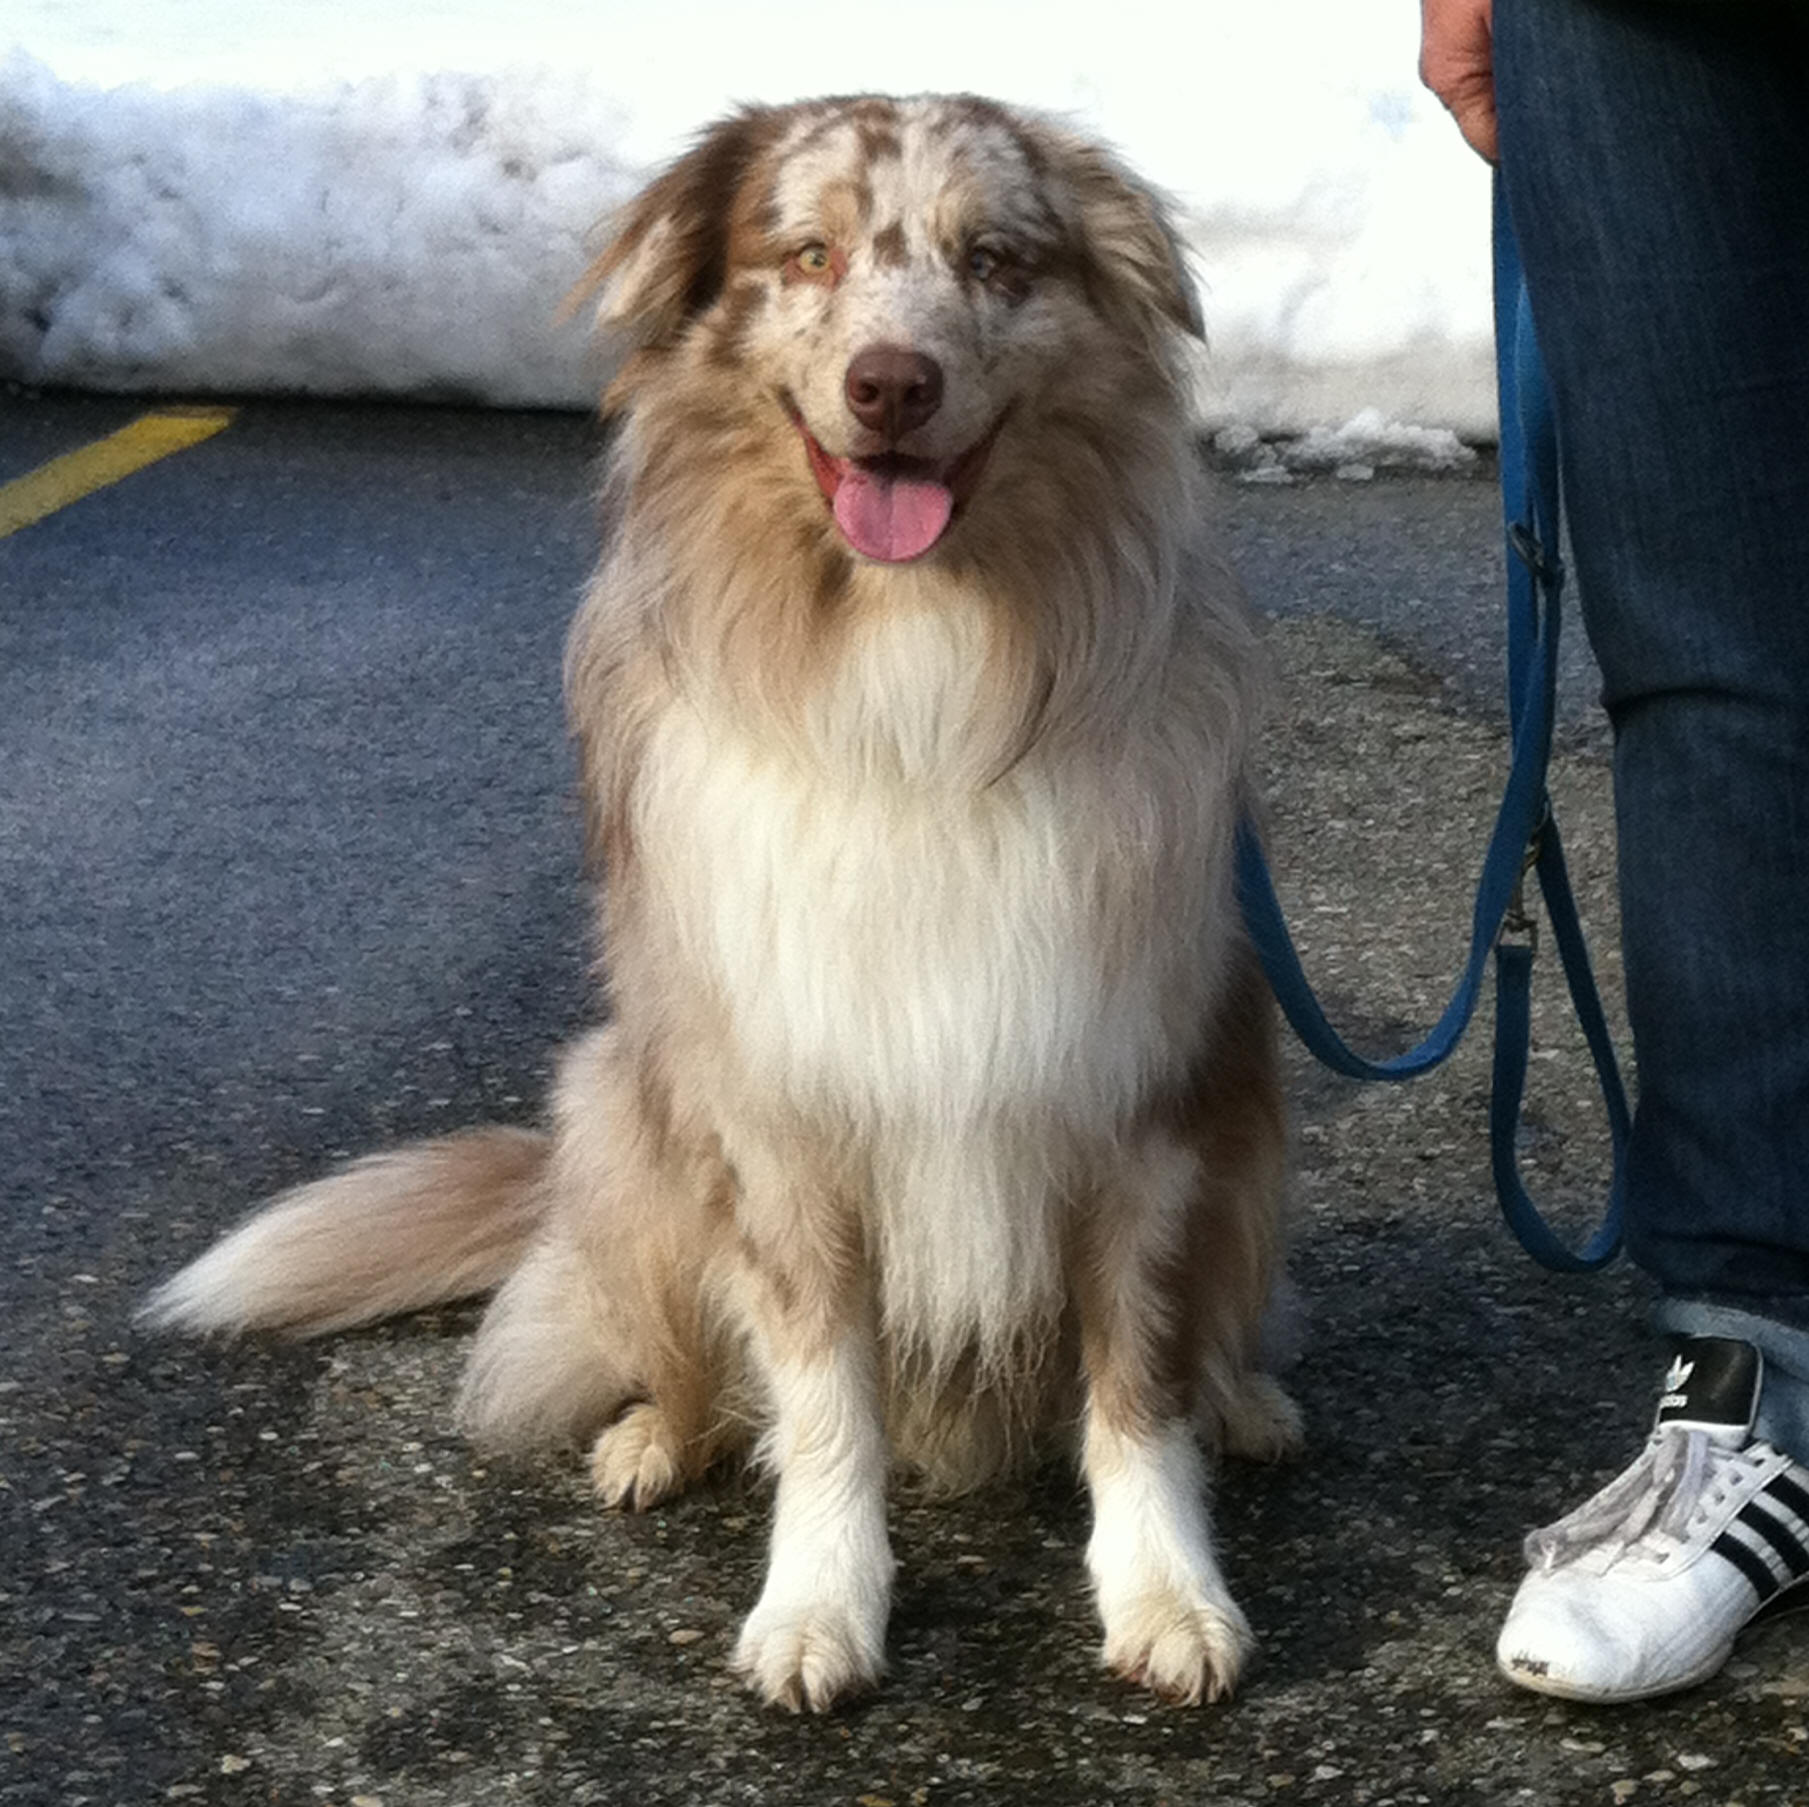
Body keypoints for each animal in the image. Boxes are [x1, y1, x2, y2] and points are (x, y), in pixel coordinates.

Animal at [142, 93, 1301, 1712]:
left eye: (996, 262)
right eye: (806, 254)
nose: (892, 382)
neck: (914, 669)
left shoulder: (1138, 1105)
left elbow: (1132, 1389)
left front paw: (1167, 1593)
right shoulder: (781, 1125)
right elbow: (821, 1399)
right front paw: (818, 1605)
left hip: (1255, 1120)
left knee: (1210, 1332)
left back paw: (1246, 1396)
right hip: (618, 1114)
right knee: (678, 1357)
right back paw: (652, 1436)